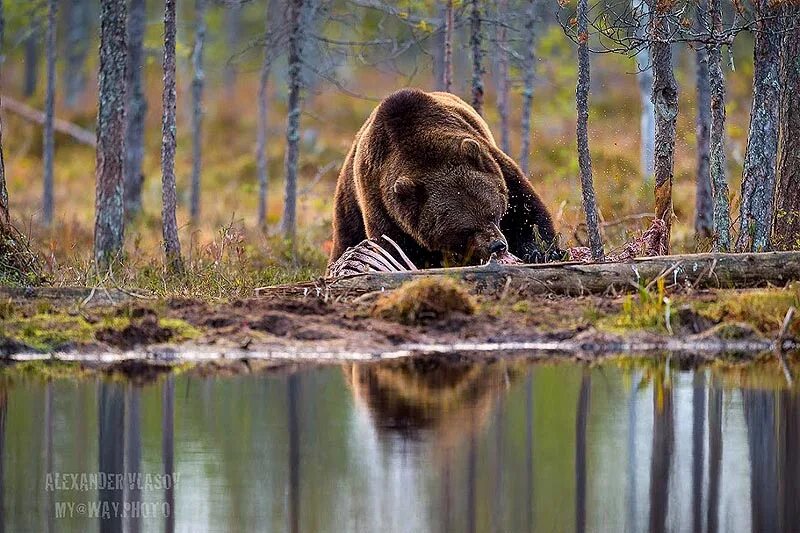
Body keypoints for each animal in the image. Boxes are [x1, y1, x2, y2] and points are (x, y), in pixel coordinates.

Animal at [328, 89, 560, 268]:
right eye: (466, 230)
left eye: (493, 214)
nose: (497, 245)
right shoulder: (383, 205)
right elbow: (395, 248)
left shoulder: (492, 162)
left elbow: (526, 211)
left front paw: (540, 251)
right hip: (349, 205)